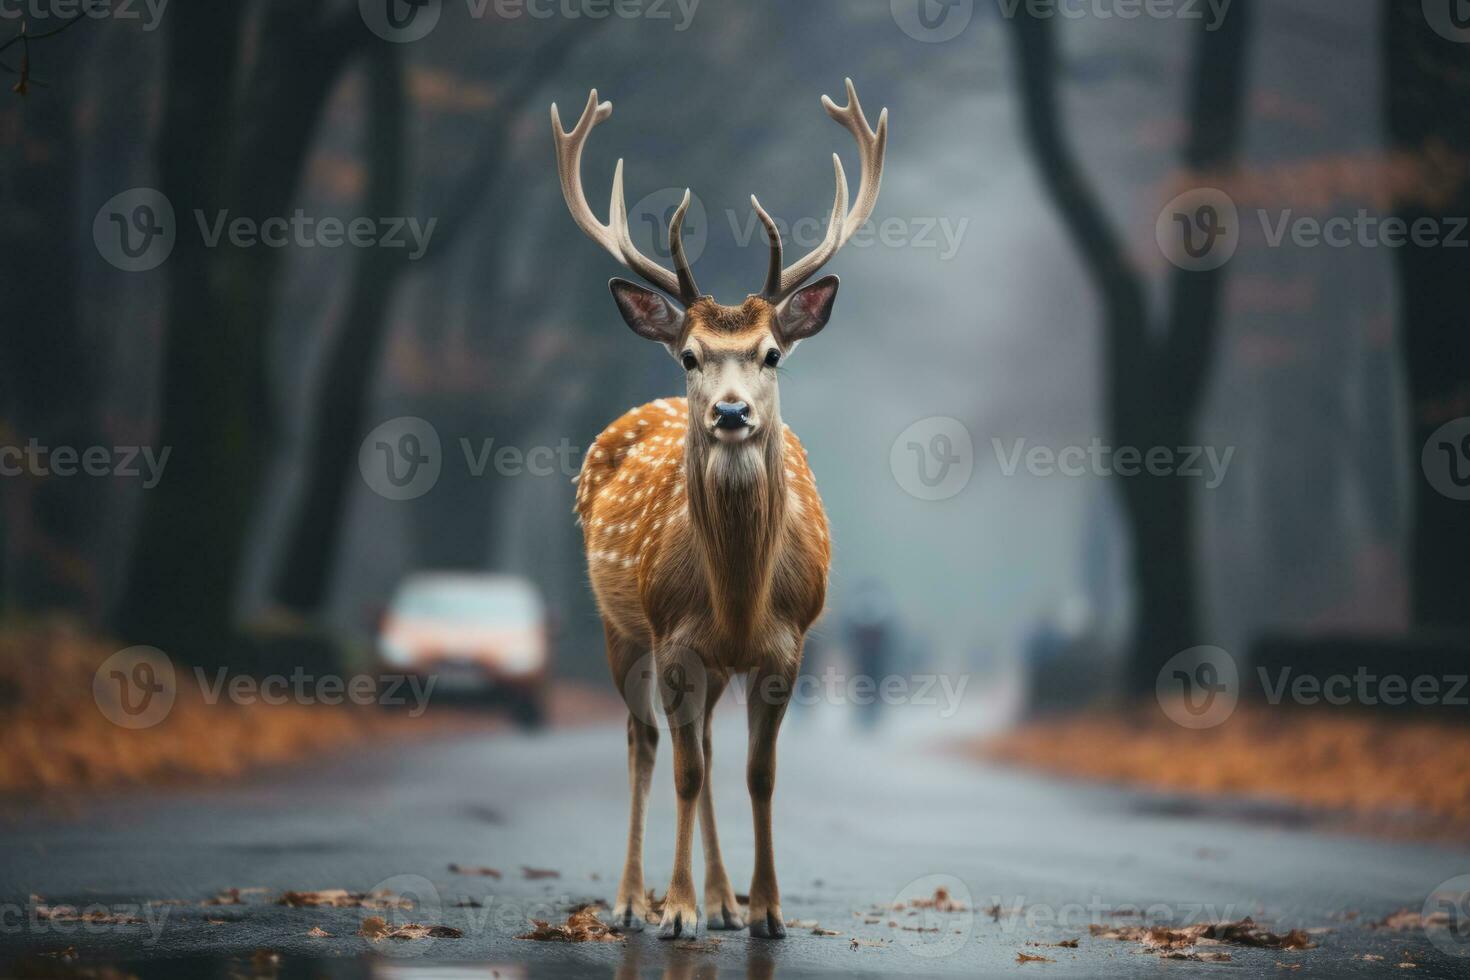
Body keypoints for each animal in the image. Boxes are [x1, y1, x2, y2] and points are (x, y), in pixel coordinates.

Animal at [552, 78, 882, 940]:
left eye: (771, 353)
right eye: (691, 355)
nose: (732, 412)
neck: (738, 599)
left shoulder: (786, 648)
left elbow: (758, 773)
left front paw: (766, 910)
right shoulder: (673, 637)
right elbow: (687, 772)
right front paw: (673, 911)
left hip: (708, 665)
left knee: (696, 739)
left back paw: (725, 901)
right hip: (620, 628)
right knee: (646, 742)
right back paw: (634, 899)